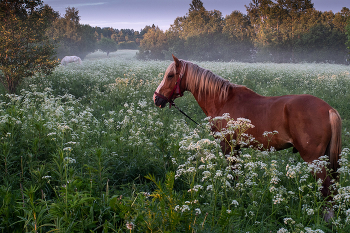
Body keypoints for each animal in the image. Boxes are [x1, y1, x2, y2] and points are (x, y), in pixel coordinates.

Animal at [153, 55, 342, 200]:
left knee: (327, 190)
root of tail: (329, 109)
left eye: (170, 75)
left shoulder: (227, 146)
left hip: (314, 160)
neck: (222, 100)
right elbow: (236, 175)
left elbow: (232, 174)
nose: (156, 98)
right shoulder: (236, 148)